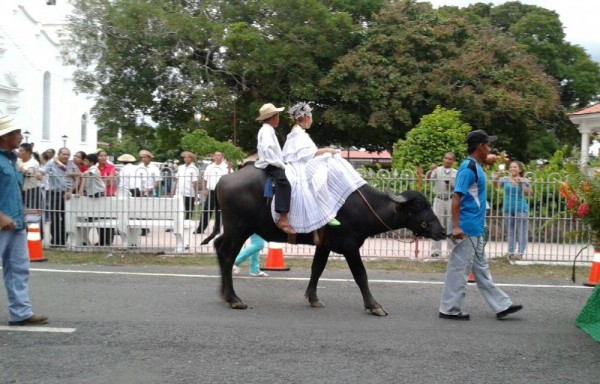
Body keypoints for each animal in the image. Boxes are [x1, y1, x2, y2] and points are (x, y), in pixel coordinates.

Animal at [211, 166, 446, 316]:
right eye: (419, 207)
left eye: (427, 204)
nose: (442, 231)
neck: (363, 206)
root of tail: (222, 179)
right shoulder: (350, 247)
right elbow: (361, 275)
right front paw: (373, 305)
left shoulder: (324, 245)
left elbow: (317, 269)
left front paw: (313, 298)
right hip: (239, 229)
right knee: (227, 255)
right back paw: (233, 299)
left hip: (234, 230)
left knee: (218, 247)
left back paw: (224, 293)